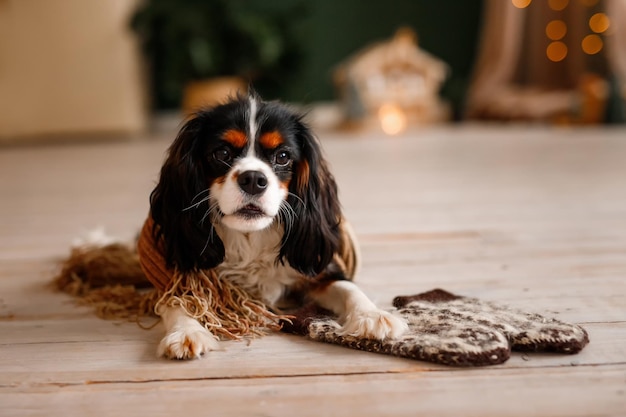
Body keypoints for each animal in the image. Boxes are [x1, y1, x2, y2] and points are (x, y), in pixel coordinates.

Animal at [149, 91, 408, 358]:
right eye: (222, 154)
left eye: (283, 156)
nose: (253, 179)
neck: (250, 238)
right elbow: (175, 298)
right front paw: (186, 332)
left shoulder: (316, 271)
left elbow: (347, 287)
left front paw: (373, 315)